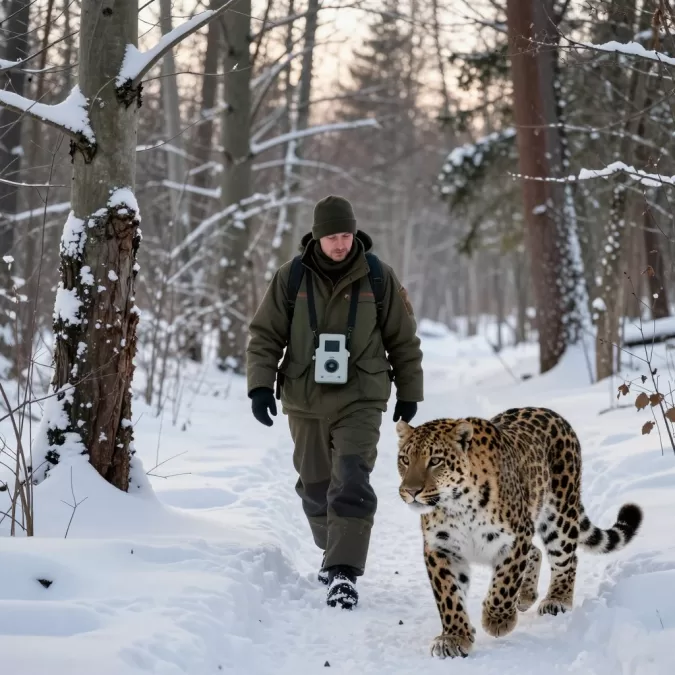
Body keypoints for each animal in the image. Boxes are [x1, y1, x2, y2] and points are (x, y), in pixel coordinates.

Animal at [395, 406, 643, 659]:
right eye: (404, 459)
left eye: (435, 461)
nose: (411, 491)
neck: (458, 506)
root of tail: (551, 413)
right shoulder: (441, 548)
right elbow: (448, 595)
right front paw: (454, 637)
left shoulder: (515, 537)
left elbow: (505, 580)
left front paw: (497, 620)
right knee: (536, 552)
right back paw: (525, 596)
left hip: (560, 515)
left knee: (566, 558)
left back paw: (557, 600)